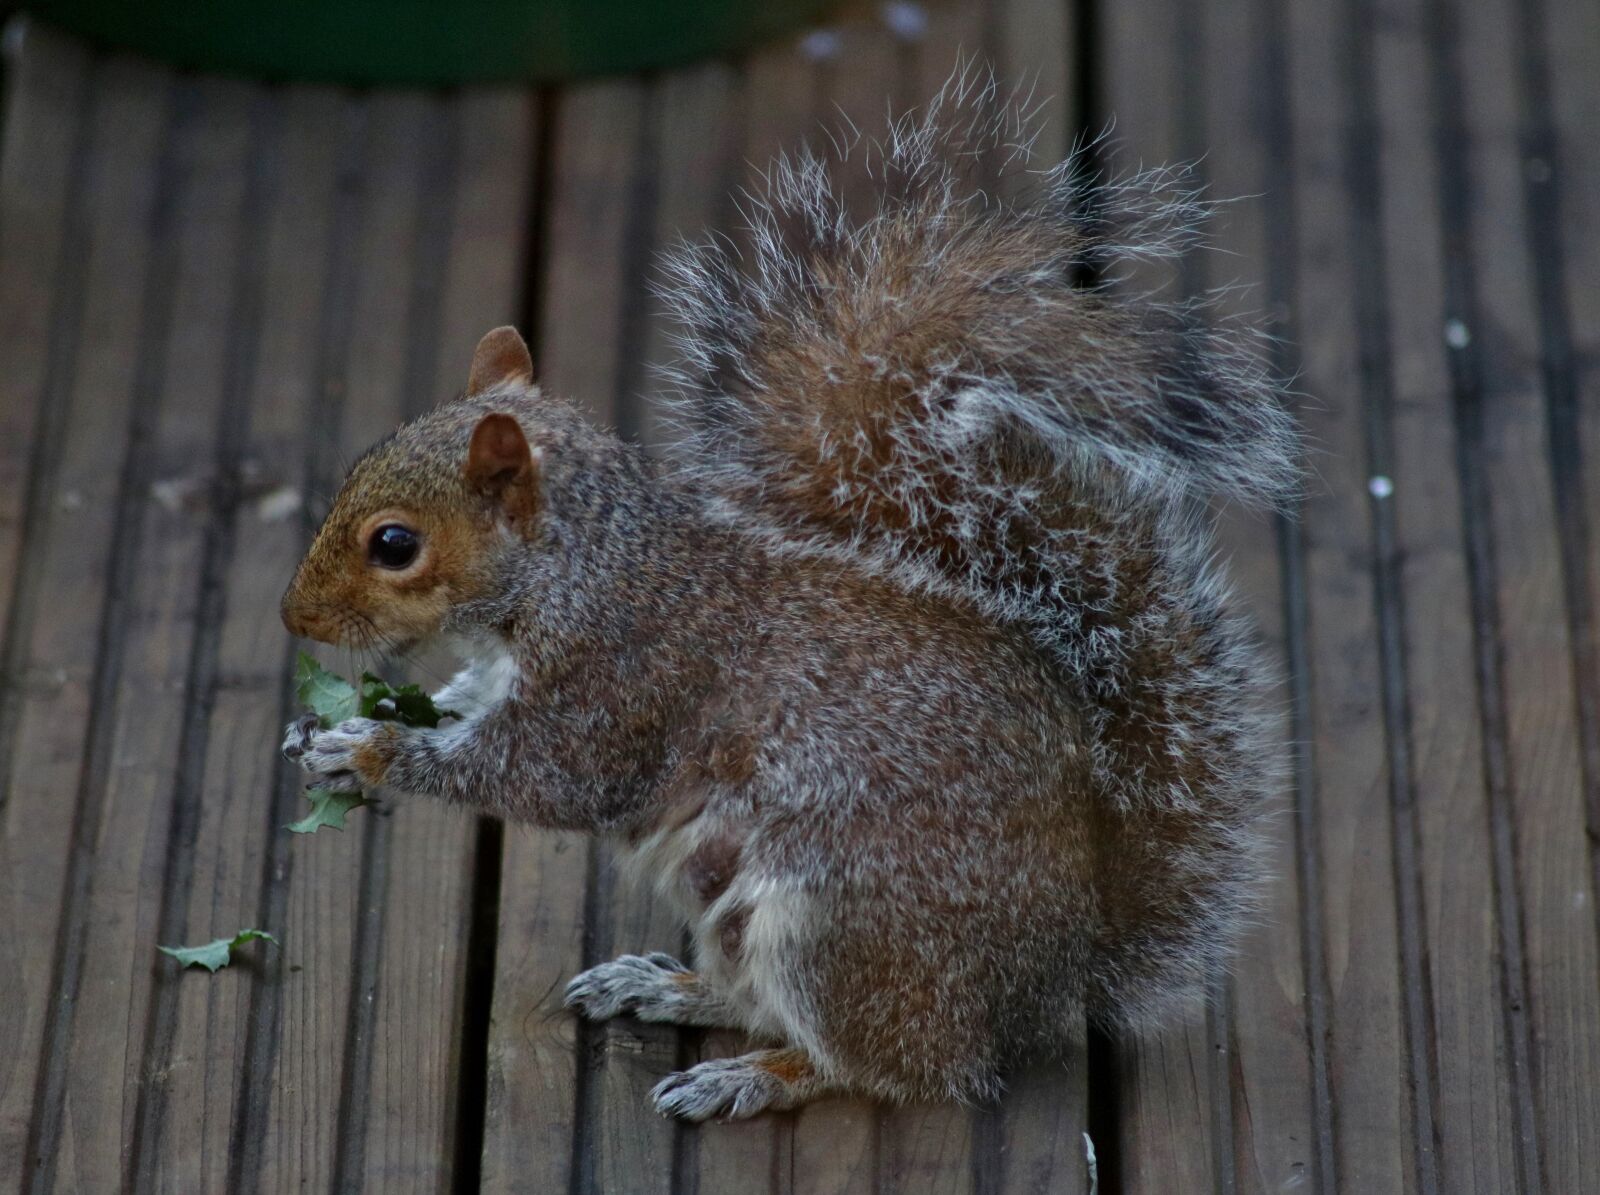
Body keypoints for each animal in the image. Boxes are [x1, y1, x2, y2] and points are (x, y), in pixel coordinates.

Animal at [280, 80, 1297, 1122]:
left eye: (394, 544)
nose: (294, 618)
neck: (582, 563)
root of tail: (1055, 973)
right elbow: (463, 706)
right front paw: (326, 734)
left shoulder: (623, 679)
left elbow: (542, 775)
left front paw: (370, 747)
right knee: (766, 1003)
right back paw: (667, 986)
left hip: (833, 922)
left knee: (900, 1067)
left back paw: (754, 1076)